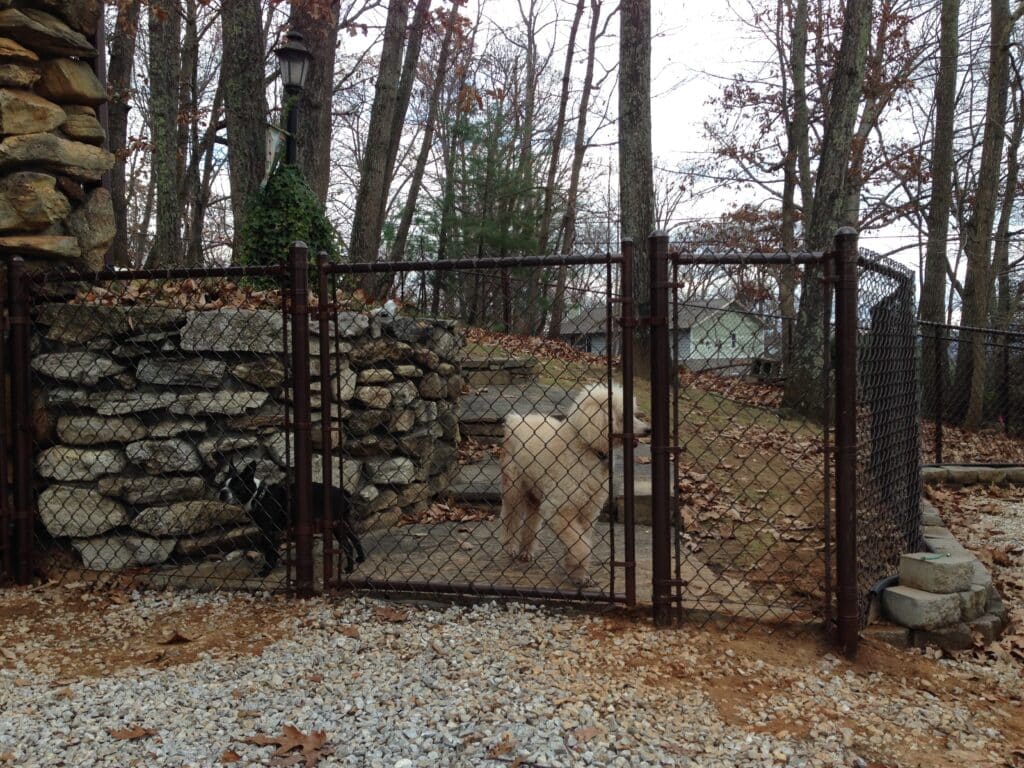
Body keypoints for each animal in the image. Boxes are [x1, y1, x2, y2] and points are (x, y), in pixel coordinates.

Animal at [218, 462, 366, 577]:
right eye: (222, 485)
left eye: (236, 487)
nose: (222, 492)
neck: (259, 496)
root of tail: (343, 493)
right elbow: (272, 550)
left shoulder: (269, 531)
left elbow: (269, 551)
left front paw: (266, 571)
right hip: (345, 520)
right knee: (355, 538)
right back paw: (361, 558)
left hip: (335, 523)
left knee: (347, 546)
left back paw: (349, 568)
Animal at [499, 385, 651, 589]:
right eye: (623, 416)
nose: (649, 430)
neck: (587, 448)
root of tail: (515, 420)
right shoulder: (559, 510)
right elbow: (582, 547)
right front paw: (578, 573)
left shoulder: (588, 511)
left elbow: (580, 541)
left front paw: (579, 575)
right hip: (514, 485)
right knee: (511, 514)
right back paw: (510, 546)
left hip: (535, 491)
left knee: (532, 516)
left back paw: (526, 552)